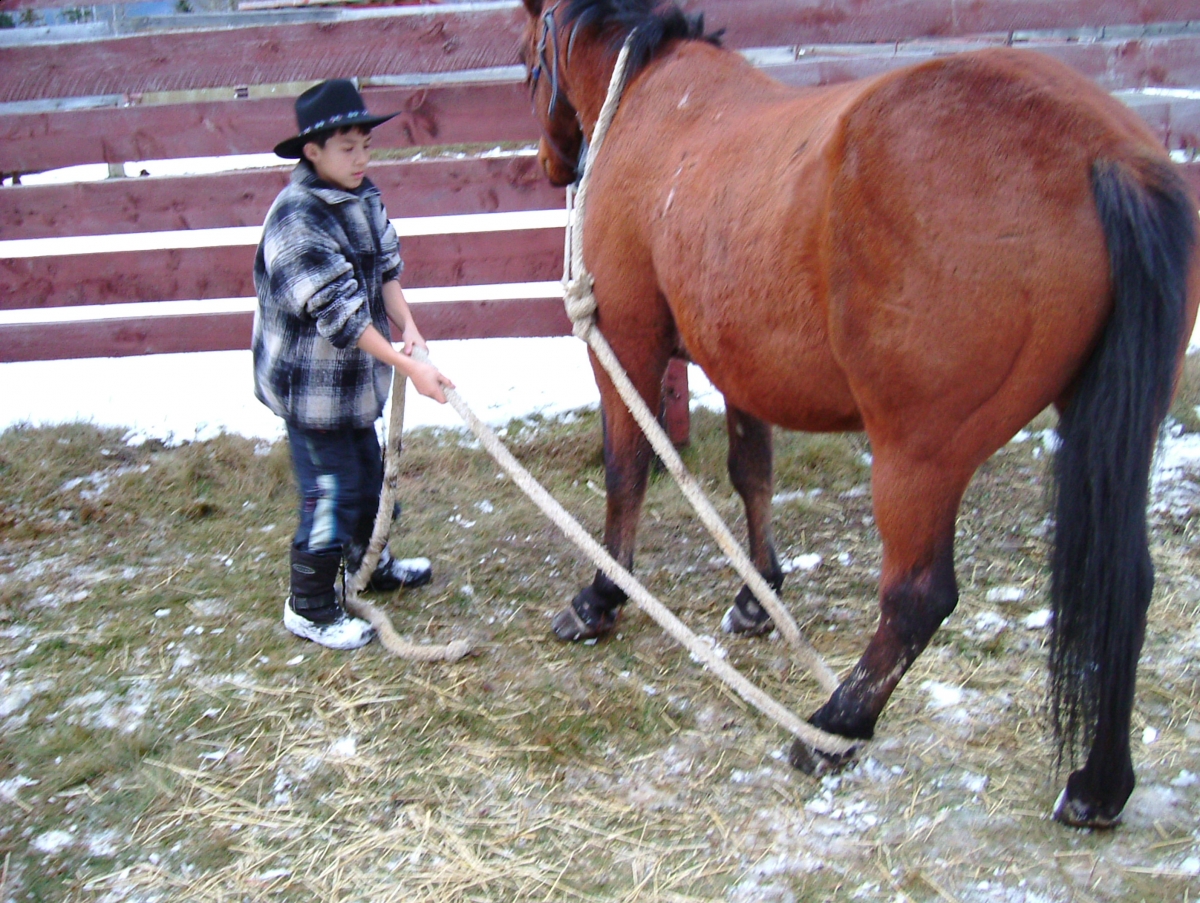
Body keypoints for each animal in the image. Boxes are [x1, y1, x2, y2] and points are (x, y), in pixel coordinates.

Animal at [518, 0, 1199, 828]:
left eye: (529, 54)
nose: (553, 162)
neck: (655, 98)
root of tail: (1104, 153)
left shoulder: (629, 342)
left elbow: (628, 472)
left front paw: (599, 598)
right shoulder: (739, 364)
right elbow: (752, 471)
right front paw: (757, 596)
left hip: (918, 456)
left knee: (918, 598)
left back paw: (836, 724)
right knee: (1125, 582)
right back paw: (1099, 786)